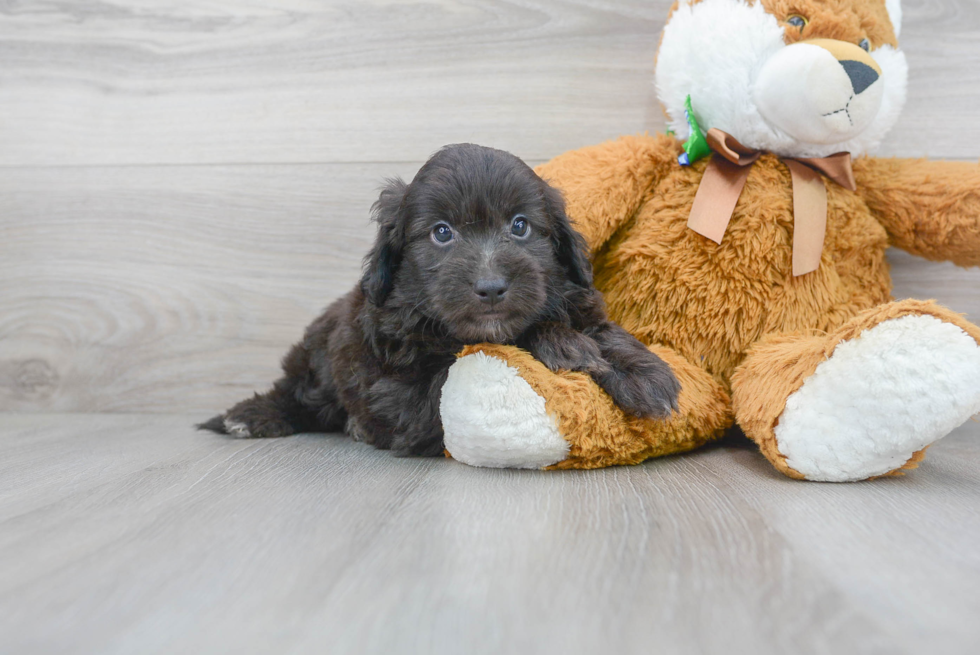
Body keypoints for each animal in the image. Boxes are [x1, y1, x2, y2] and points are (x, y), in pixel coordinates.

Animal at [203, 144, 676, 456]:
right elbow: (506, 342)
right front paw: (564, 345)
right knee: (300, 392)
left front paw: (644, 374)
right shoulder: (403, 385)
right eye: (442, 233)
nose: (490, 287)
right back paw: (251, 416)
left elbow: (601, 329)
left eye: (520, 226)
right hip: (317, 360)